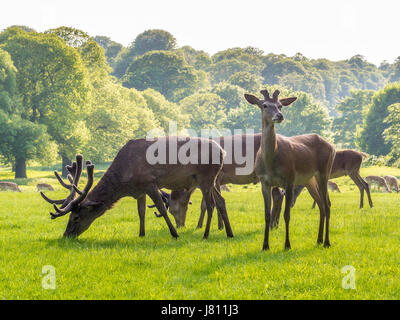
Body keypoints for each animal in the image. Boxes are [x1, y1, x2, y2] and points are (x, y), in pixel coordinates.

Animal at [39, 138, 233, 240]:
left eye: (76, 217)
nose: (66, 235)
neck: (124, 182)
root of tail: (223, 152)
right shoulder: (139, 190)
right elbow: (141, 212)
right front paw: (141, 234)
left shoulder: (150, 183)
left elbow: (162, 209)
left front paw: (175, 233)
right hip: (211, 180)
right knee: (221, 201)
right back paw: (229, 233)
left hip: (206, 177)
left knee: (210, 204)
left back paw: (206, 234)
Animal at [245, 88, 336, 250]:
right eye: (265, 105)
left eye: (280, 105)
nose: (279, 116)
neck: (270, 163)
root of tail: (332, 147)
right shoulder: (264, 182)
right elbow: (267, 215)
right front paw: (265, 245)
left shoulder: (289, 178)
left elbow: (286, 214)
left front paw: (287, 244)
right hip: (309, 180)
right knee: (321, 204)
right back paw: (318, 240)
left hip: (325, 171)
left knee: (327, 204)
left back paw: (326, 242)